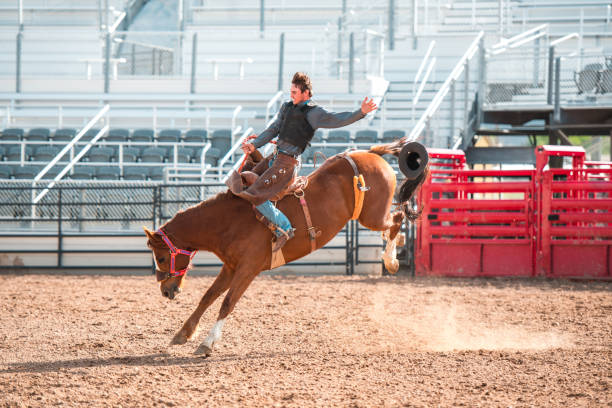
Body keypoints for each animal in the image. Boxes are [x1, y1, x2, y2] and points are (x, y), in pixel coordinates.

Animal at [143, 139, 430, 356]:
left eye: (160, 257)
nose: (166, 291)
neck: (229, 220)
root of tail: (372, 154)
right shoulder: (230, 267)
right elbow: (208, 296)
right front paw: (183, 333)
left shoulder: (248, 269)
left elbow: (227, 302)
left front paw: (207, 343)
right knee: (394, 223)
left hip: (371, 215)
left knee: (397, 219)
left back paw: (391, 260)